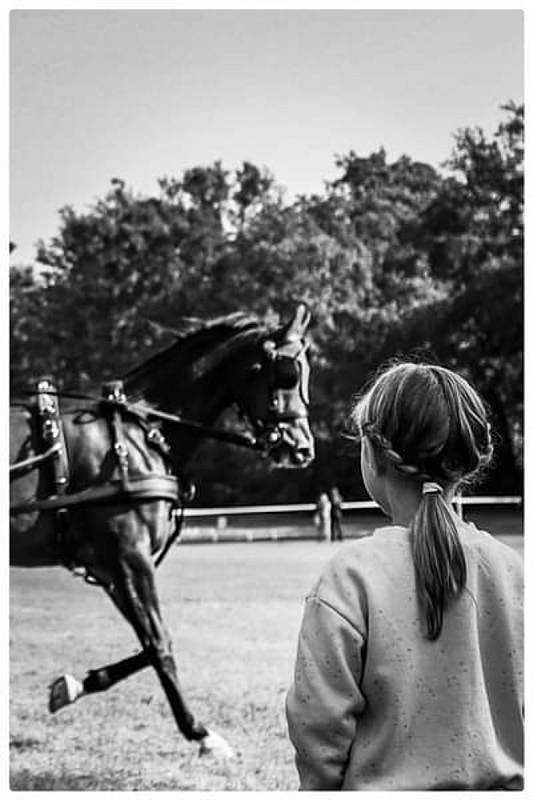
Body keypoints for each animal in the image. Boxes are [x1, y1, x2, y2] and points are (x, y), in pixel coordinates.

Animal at [10, 304, 314, 756]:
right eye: (287, 374)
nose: (303, 448)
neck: (139, 435)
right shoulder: (130, 556)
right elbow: (160, 642)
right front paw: (200, 732)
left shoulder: (110, 567)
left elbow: (148, 645)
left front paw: (75, 685)